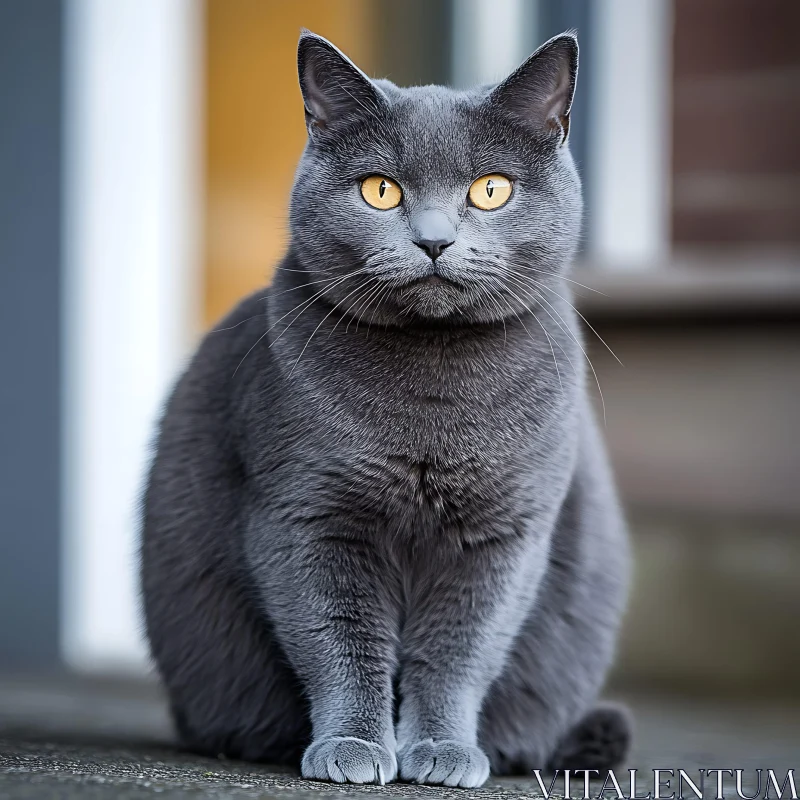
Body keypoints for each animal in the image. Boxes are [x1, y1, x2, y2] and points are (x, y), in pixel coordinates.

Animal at [142, 28, 632, 784]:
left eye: (491, 189)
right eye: (380, 190)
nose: (433, 240)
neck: (432, 391)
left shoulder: (503, 534)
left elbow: (458, 650)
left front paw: (442, 751)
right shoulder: (308, 516)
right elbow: (340, 640)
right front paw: (354, 746)